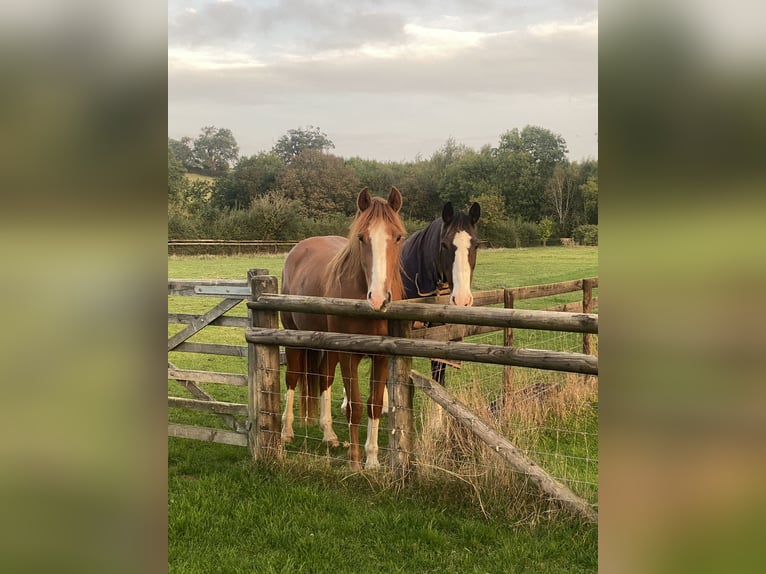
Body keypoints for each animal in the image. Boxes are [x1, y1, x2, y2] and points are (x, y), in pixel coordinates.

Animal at [280, 189, 408, 472]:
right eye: (361, 237)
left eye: (398, 237)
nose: (378, 298)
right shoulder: (350, 355)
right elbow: (355, 407)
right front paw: (355, 462)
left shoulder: (382, 357)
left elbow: (374, 404)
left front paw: (372, 460)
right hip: (294, 339)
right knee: (292, 378)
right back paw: (286, 431)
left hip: (328, 348)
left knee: (325, 379)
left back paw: (329, 434)